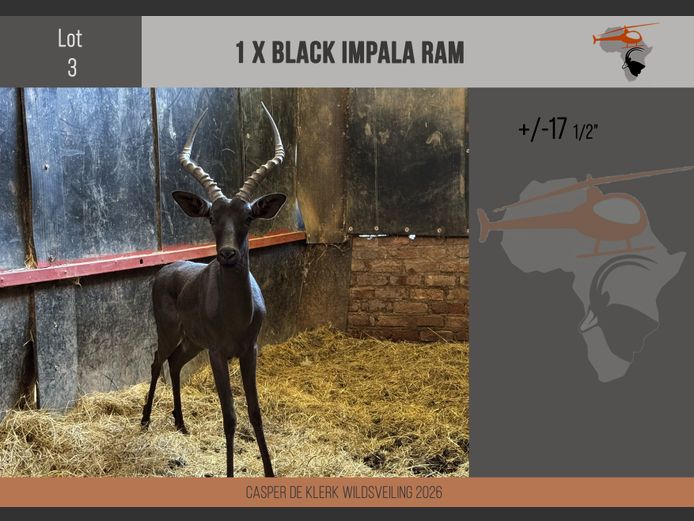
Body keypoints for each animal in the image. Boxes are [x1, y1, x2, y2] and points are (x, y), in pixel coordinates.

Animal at [141, 103, 286, 477]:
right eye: (211, 217)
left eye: (248, 217)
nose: (228, 254)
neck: (236, 315)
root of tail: (167, 269)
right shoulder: (219, 354)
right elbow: (230, 416)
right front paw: (231, 473)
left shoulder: (249, 350)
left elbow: (255, 413)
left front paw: (269, 471)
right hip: (170, 332)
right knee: (157, 361)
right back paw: (144, 421)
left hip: (193, 342)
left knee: (175, 363)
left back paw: (180, 423)